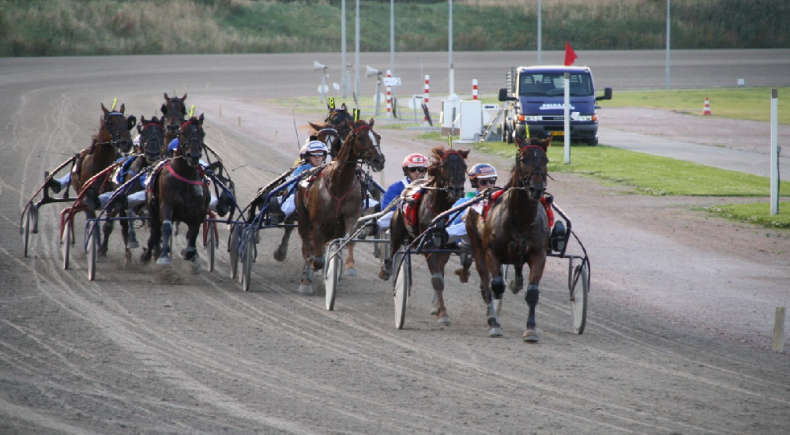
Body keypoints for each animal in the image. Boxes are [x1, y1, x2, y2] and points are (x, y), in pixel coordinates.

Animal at [71, 103, 136, 255]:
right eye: (110, 123)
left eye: (126, 122)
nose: (126, 143)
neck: (100, 165)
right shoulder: (89, 196)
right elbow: (93, 219)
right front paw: (96, 246)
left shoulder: (113, 196)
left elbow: (109, 223)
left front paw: (104, 248)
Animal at [142, 113, 209, 270]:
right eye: (183, 133)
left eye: (202, 133)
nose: (193, 156)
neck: (185, 176)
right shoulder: (166, 204)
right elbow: (166, 227)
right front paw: (163, 257)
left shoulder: (199, 211)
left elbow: (194, 232)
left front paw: (189, 253)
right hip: (153, 209)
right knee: (155, 231)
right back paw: (148, 255)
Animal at [296, 119, 386, 294]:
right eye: (360, 137)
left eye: (378, 136)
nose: (379, 161)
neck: (338, 184)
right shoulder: (318, 223)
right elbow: (316, 256)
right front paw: (314, 269)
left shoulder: (349, 218)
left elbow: (348, 240)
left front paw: (344, 269)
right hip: (303, 218)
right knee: (306, 244)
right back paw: (306, 277)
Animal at [378, 146, 470, 328]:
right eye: (444, 166)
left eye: (464, 166)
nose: (456, 189)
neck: (440, 210)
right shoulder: (428, 247)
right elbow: (437, 280)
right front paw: (443, 315)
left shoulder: (444, 247)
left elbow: (441, 276)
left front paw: (439, 310)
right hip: (397, 229)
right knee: (393, 251)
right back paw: (386, 270)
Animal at [468, 135, 552, 340]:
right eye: (523, 159)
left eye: (545, 160)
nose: (536, 188)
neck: (520, 219)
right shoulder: (491, 252)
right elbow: (496, 285)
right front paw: (494, 322)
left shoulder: (539, 254)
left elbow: (532, 292)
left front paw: (531, 329)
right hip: (477, 247)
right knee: (485, 284)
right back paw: (493, 317)